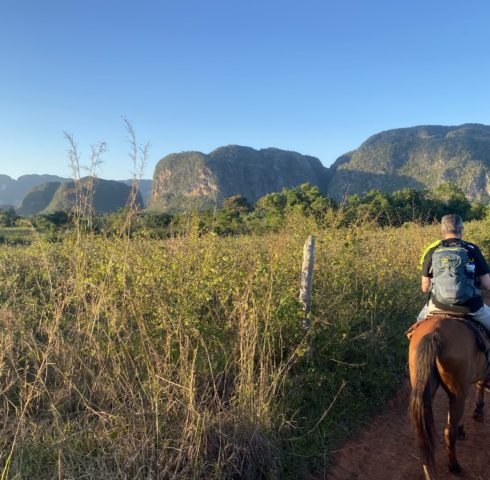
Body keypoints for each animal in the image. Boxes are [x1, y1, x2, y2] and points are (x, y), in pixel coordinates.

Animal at [408, 316, 488, 480]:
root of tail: (434, 334)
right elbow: (480, 383)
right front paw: (478, 411)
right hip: (458, 392)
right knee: (448, 431)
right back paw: (455, 466)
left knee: (423, 434)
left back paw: (429, 472)